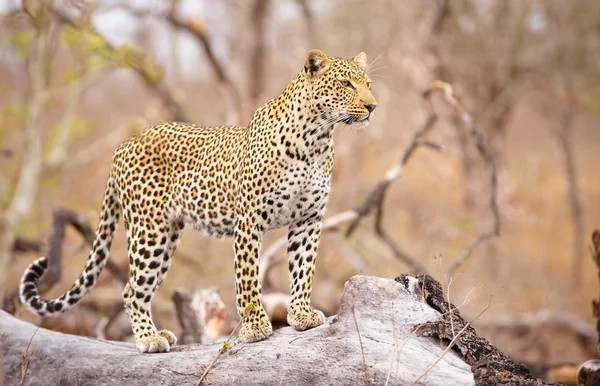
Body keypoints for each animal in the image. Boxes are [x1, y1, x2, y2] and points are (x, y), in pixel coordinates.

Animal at [21, 49, 378, 354]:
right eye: (346, 84)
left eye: (368, 84)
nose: (372, 106)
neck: (316, 139)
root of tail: (124, 145)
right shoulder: (250, 220)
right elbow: (248, 278)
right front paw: (254, 327)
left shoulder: (308, 219)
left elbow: (304, 270)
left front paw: (302, 315)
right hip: (148, 232)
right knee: (131, 290)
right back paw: (148, 339)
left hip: (167, 237)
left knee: (139, 287)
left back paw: (159, 333)